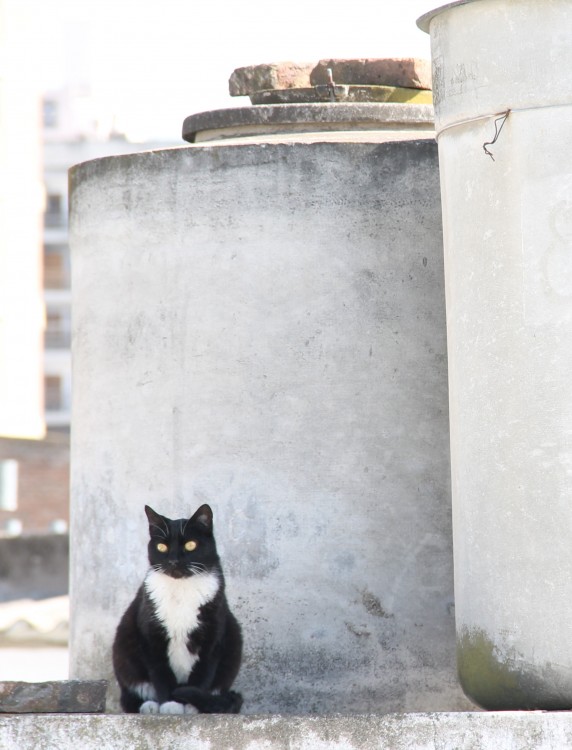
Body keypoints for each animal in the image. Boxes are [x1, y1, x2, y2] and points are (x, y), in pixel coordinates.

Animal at [113, 502, 242, 712]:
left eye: (190, 545)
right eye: (161, 547)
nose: (173, 560)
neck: (181, 588)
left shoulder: (212, 638)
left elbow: (203, 674)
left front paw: (190, 706)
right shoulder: (151, 638)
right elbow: (161, 674)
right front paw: (170, 704)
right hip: (125, 649)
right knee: (130, 698)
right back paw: (149, 706)